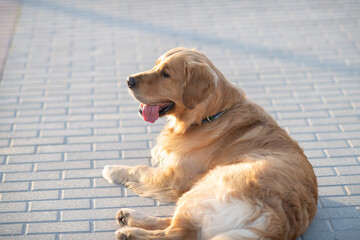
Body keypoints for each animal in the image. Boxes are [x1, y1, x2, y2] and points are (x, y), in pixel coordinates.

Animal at [103, 47, 318, 239]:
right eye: (155, 65)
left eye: (166, 74)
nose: (129, 80)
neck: (211, 116)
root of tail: (278, 221)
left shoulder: (175, 177)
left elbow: (140, 169)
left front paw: (113, 169)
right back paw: (128, 216)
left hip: (201, 188)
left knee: (176, 233)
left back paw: (129, 232)